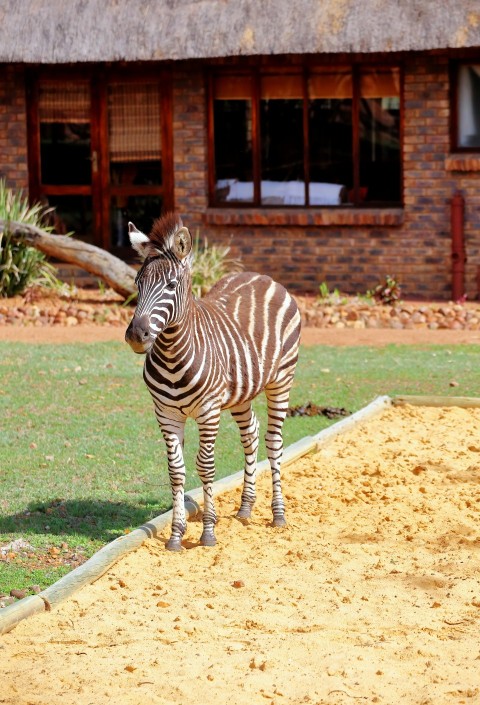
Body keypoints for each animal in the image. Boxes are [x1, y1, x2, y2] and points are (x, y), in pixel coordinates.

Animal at [125, 213, 302, 552]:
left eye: (171, 285)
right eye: (137, 284)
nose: (136, 336)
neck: (172, 354)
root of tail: (262, 276)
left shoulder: (208, 412)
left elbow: (205, 466)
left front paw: (207, 532)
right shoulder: (166, 414)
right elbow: (176, 471)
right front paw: (176, 535)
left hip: (281, 379)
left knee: (274, 442)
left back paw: (278, 514)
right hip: (242, 391)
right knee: (251, 434)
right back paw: (246, 507)